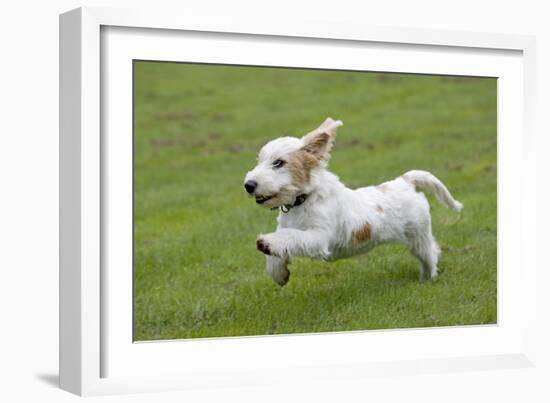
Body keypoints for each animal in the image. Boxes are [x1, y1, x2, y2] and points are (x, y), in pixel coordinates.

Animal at [244, 118, 464, 286]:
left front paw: (266, 243)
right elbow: (278, 249)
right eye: (259, 161)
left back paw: (427, 277)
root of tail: (405, 181)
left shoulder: (318, 237)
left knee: (430, 253)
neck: (305, 200)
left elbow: (290, 237)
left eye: (278, 163)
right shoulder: (286, 228)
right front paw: (279, 274)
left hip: (418, 235)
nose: (249, 185)